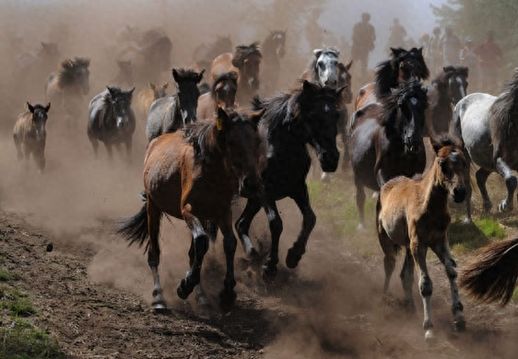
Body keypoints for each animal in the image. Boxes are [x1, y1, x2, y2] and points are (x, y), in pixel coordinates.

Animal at [116, 107, 266, 312]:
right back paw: (158, 297)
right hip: (153, 207)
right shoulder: (188, 210)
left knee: (193, 253)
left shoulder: (222, 212)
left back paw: (201, 296)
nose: (252, 184)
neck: (211, 173)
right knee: (154, 253)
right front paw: (184, 286)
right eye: (231, 142)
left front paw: (227, 293)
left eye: (257, 141)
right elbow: (202, 241)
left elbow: (229, 243)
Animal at [236, 81, 346, 278]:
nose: (331, 159)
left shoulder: (297, 188)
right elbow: (276, 223)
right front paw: (270, 265)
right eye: (313, 115)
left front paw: (294, 255)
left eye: (336, 115)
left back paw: (251, 253)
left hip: (253, 201)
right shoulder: (265, 191)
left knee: (241, 224)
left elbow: (310, 218)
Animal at [350, 80, 430, 229]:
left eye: (424, 105)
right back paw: (362, 225)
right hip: (356, 173)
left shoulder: (415, 172)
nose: (413, 139)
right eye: (401, 105)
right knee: (360, 196)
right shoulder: (382, 172)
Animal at [378, 136, 472, 342]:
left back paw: (410, 306)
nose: (460, 192)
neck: (430, 207)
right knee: (389, 264)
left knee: (405, 273)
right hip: (387, 239)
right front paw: (429, 329)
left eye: (465, 162)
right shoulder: (419, 244)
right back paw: (385, 297)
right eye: (442, 164)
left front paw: (459, 318)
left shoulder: (439, 241)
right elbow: (426, 284)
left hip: (407, 246)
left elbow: (451, 271)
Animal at [450, 67, 518, 219]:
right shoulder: (499, 158)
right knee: (469, 185)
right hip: (465, 155)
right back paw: (469, 218)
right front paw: (504, 206)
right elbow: (511, 180)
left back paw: (487, 206)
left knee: (480, 177)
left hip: (488, 163)